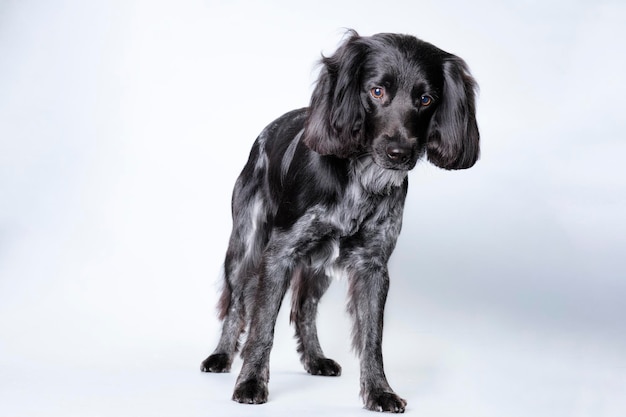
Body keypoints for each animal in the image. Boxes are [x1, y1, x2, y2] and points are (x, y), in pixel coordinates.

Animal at [200, 30, 478, 412]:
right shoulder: (279, 254)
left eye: (425, 99)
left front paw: (379, 391)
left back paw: (315, 358)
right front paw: (251, 382)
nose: (400, 154)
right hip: (245, 247)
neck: (361, 177)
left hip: (318, 265)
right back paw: (221, 356)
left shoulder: (372, 265)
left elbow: (372, 339)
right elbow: (261, 326)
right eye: (376, 91)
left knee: (304, 308)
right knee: (237, 302)